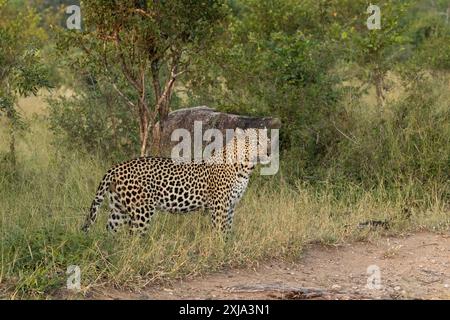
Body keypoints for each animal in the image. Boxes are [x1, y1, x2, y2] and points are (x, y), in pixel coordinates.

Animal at [81, 127, 270, 235]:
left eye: (268, 140)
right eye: (256, 142)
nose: (269, 150)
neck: (245, 168)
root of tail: (117, 166)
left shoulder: (231, 206)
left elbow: (229, 230)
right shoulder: (220, 206)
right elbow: (220, 230)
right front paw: (220, 250)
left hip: (119, 209)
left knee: (110, 233)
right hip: (142, 211)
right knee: (133, 237)